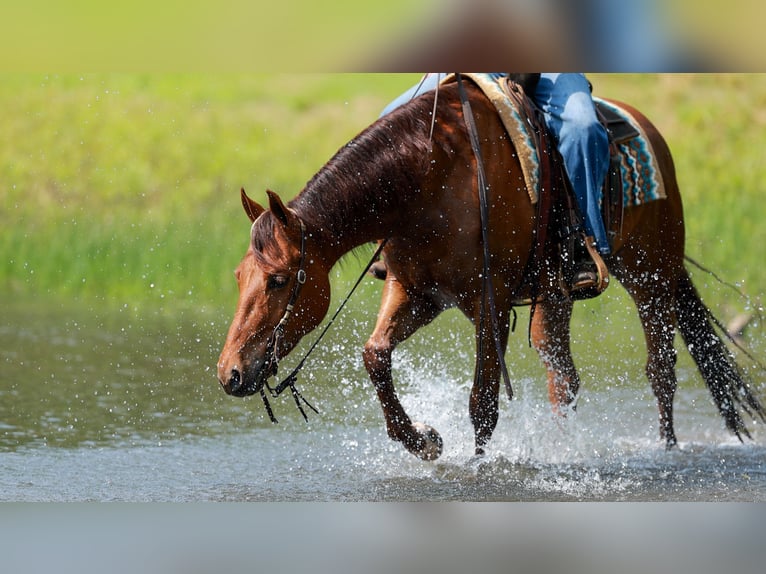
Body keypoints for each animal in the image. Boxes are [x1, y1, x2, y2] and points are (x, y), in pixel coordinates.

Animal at [217, 78, 764, 460]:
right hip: (556, 294)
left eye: (279, 280)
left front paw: (475, 467)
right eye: (240, 277)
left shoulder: (491, 303)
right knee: (563, 378)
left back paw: (667, 451)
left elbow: (482, 401)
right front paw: (426, 441)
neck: (427, 178)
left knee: (661, 370)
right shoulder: (415, 292)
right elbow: (375, 357)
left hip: (651, 276)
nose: (229, 374)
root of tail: (645, 128)